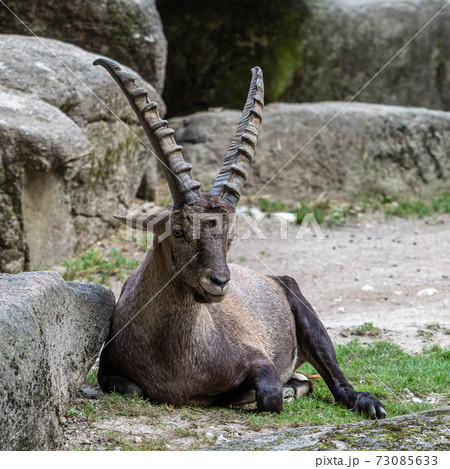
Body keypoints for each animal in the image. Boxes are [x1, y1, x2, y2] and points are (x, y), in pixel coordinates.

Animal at [95, 58, 386, 416]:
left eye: (231, 236)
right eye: (178, 230)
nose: (219, 281)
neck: (177, 358)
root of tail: (272, 278)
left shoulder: (257, 357)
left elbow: (270, 395)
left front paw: (255, 393)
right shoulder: (108, 368)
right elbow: (133, 389)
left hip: (306, 314)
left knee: (333, 374)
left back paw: (366, 402)